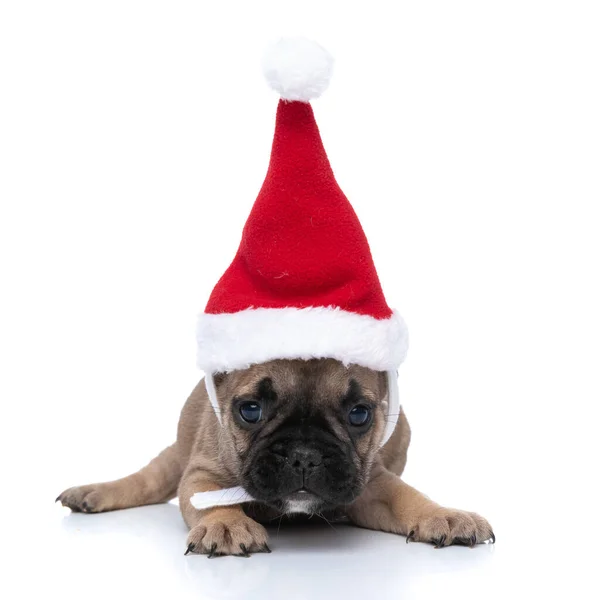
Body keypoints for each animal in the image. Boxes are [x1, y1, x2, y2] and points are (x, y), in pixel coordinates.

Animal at [58, 356, 494, 556]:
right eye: (250, 410)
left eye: (359, 414)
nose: (304, 455)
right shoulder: (201, 473)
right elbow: (210, 501)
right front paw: (225, 524)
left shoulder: (371, 482)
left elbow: (407, 496)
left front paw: (444, 515)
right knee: (147, 479)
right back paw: (92, 492)